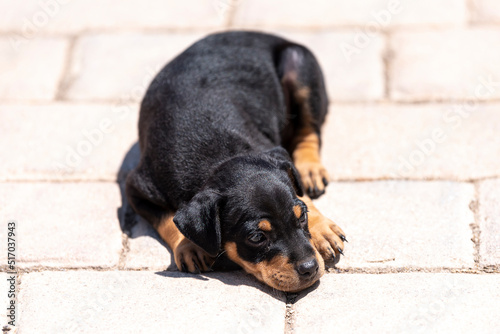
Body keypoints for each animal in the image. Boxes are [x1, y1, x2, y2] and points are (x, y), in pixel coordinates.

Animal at [125, 31, 346, 292]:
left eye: (302, 217)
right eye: (257, 237)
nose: (310, 268)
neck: (220, 155)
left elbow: (299, 192)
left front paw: (321, 229)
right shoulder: (138, 187)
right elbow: (167, 219)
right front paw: (189, 245)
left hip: (300, 65)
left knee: (309, 129)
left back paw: (310, 169)